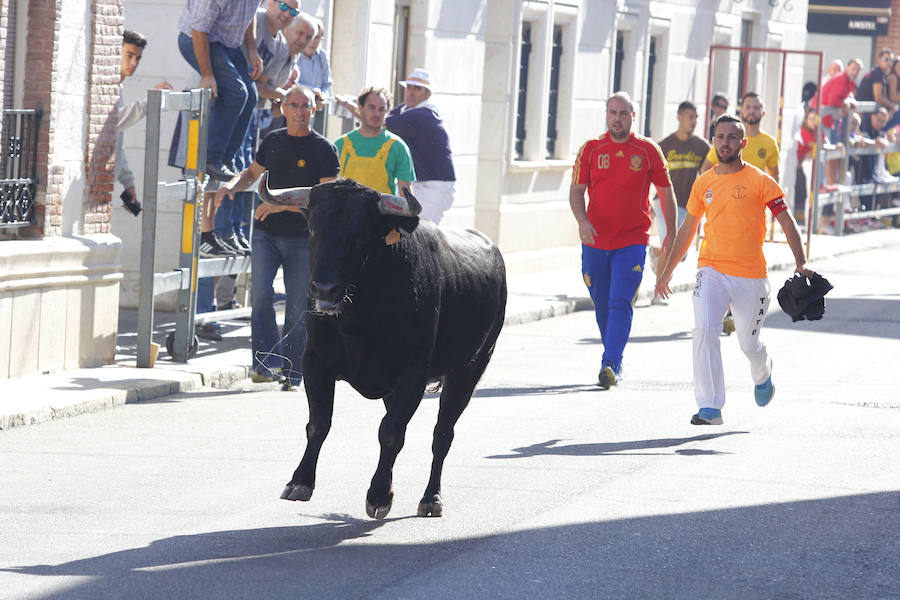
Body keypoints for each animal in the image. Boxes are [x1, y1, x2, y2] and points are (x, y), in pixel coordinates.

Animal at [260, 176, 506, 516]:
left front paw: (377, 496)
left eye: (361, 235)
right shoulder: (315, 361)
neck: (358, 322)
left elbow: (390, 433)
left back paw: (431, 497)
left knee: (442, 434)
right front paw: (300, 481)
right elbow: (319, 423)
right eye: (314, 229)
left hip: (470, 369)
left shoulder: (413, 373)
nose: (325, 289)